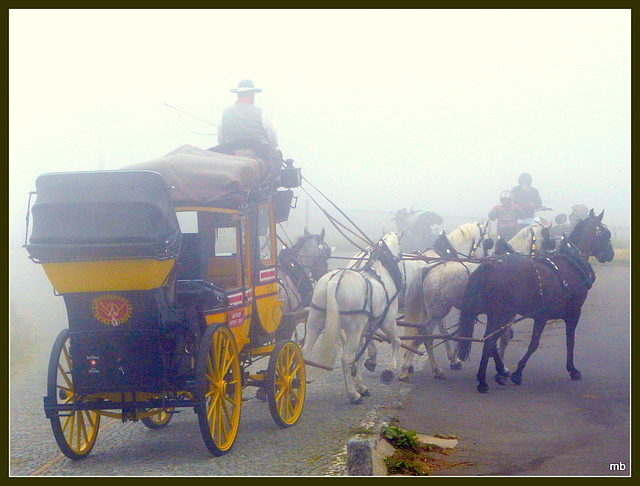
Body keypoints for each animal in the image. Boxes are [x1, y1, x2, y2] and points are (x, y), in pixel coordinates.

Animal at [302, 234, 402, 404]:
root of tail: (335, 280)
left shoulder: (364, 330)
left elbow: (360, 356)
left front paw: (361, 384)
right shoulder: (387, 320)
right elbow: (396, 341)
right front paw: (390, 369)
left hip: (315, 323)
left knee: (304, 353)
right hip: (354, 330)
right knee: (346, 358)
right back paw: (353, 395)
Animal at [456, 209, 616, 392]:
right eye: (604, 233)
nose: (611, 254)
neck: (571, 262)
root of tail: (492, 265)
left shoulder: (542, 316)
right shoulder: (570, 313)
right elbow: (563, 342)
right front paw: (571, 370)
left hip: (494, 314)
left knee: (490, 341)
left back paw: (497, 373)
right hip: (503, 314)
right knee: (490, 341)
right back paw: (483, 381)